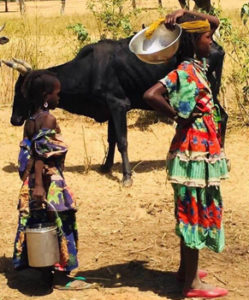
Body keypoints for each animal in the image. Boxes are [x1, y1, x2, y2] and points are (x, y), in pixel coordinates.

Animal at [4, 36, 227, 186]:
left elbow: (122, 141)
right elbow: (111, 139)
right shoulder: (110, 109)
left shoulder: (118, 105)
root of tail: (216, 47)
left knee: (221, 117)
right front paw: (106, 166)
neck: (90, 69)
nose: (14, 119)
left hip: (210, 92)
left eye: (22, 91)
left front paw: (126, 176)